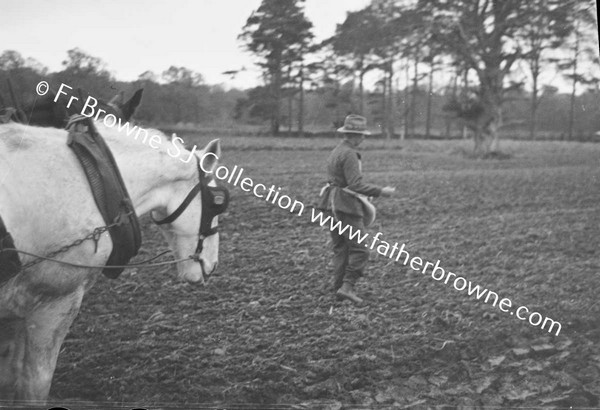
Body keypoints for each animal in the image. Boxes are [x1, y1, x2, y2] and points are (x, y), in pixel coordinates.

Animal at [0, 117, 225, 402]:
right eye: (218, 202)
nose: (212, 265)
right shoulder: (55, 303)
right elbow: (35, 385)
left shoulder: (14, 312)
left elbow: (9, 380)